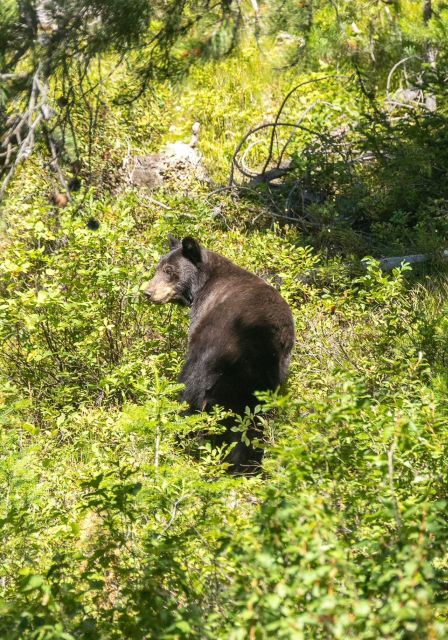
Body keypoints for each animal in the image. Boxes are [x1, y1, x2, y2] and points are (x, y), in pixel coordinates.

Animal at [145, 235, 296, 470]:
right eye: (158, 268)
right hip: (264, 374)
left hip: (214, 354)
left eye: (169, 270)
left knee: (191, 388)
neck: (203, 283)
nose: (148, 292)